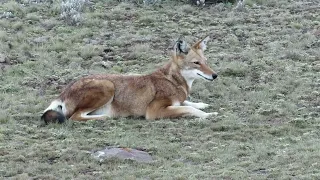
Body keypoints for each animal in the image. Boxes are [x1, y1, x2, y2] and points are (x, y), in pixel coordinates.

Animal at [40, 36, 218, 124]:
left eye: (206, 61)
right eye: (197, 63)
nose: (215, 75)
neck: (173, 81)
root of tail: (63, 92)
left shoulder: (177, 101)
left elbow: (188, 103)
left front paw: (203, 105)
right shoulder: (154, 111)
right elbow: (188, 108)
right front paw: (209, 114)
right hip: (107, 86)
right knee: (74, 117)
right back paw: (107, 117)